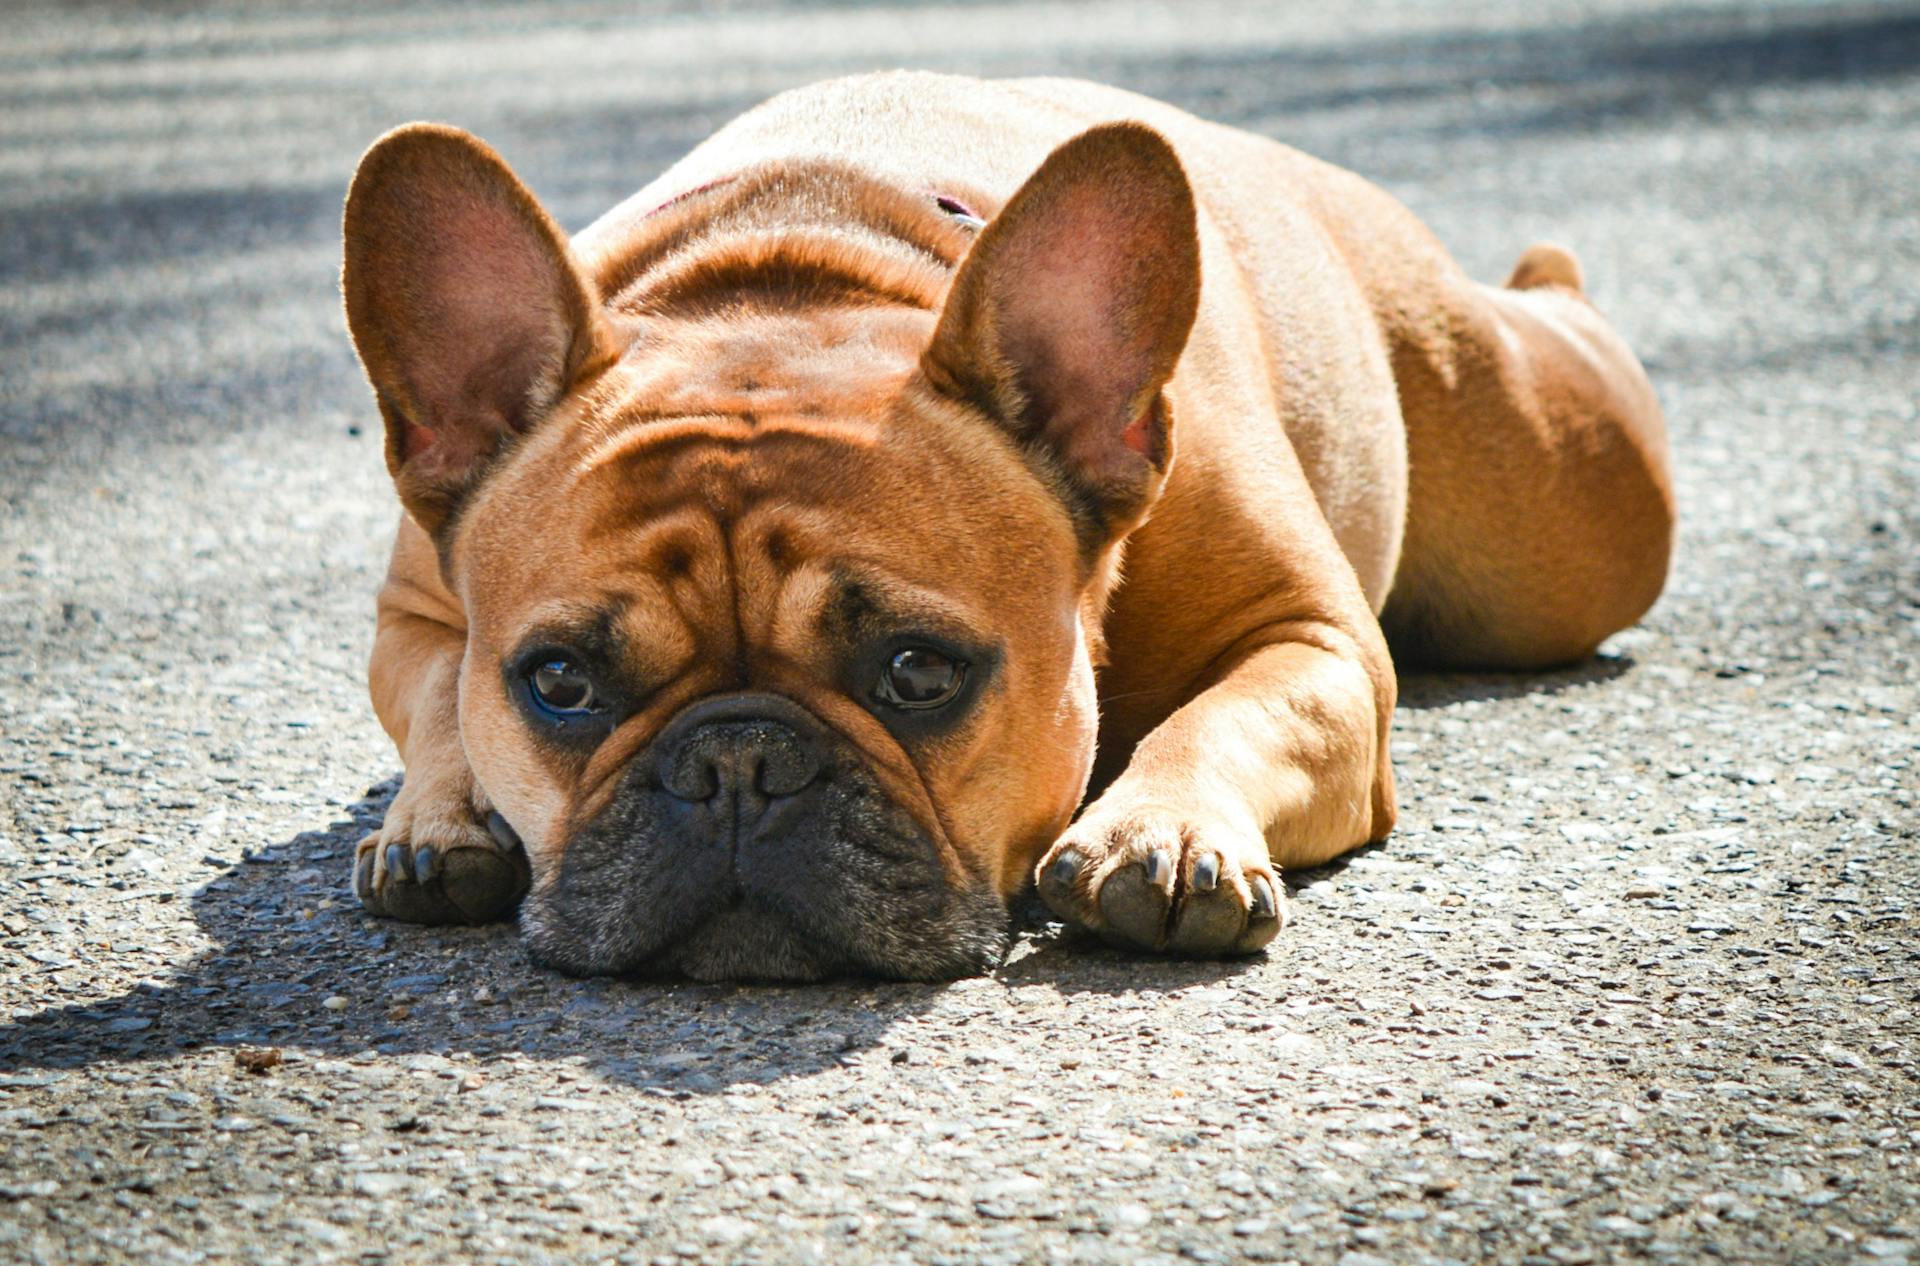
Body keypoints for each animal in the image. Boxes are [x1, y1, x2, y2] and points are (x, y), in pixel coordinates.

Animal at [341, 72, 1666, 979]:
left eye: (919, 673)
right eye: (559, 683)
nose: (735, 765)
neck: (787, 277)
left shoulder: (1311, 640)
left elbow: (1230, 714)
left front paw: (1163, 832)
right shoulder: (414, 612)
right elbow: (440, 703)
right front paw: (440, 819)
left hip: (1556, 521)